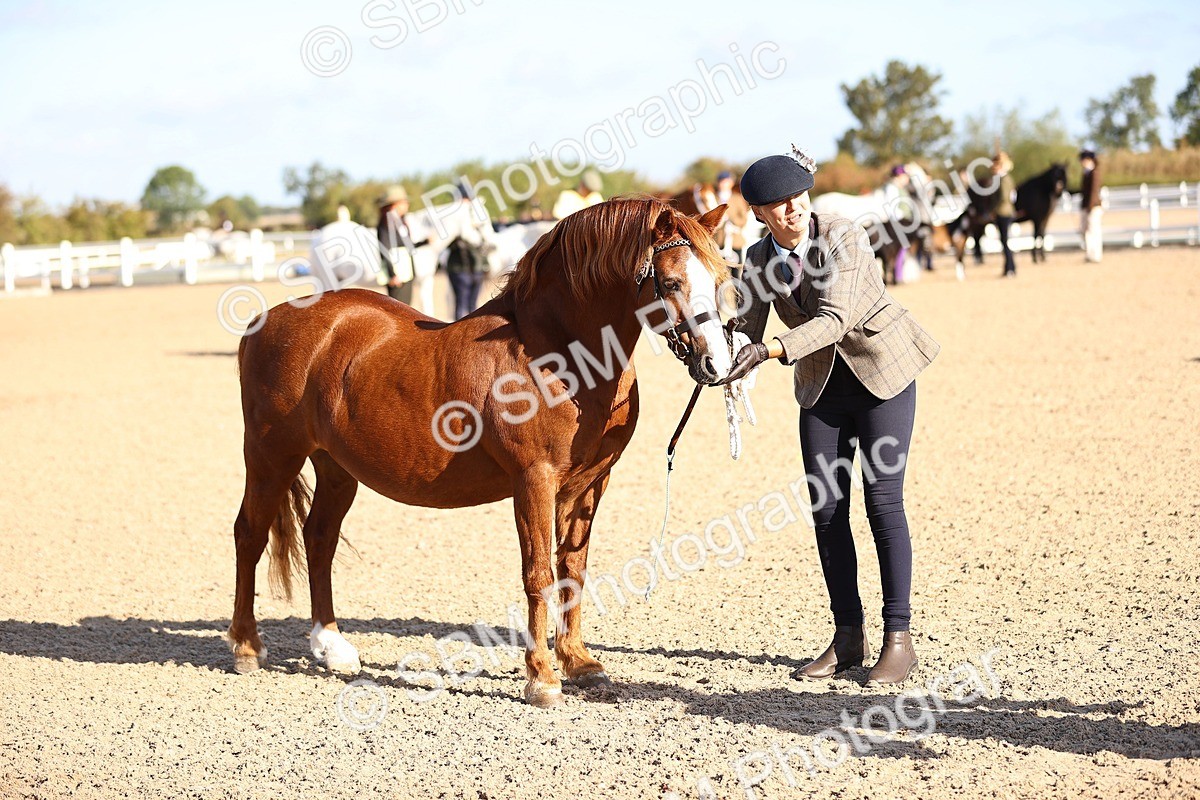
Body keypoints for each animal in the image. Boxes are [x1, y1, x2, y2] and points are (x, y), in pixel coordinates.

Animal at [228, 198, 734, 708]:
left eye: (719, 278)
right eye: (670, 282)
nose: (716, 363)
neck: (556, 357)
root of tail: (262, 324)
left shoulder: (589, 484)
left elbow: (572, 569)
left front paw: (579, 663)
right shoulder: (534, 480)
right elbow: (539, 574)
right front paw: (542, 678)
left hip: (335, 467)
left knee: (319, 539)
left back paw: (332, 648)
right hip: (271, 455)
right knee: (249, 534)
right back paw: (247, 647)